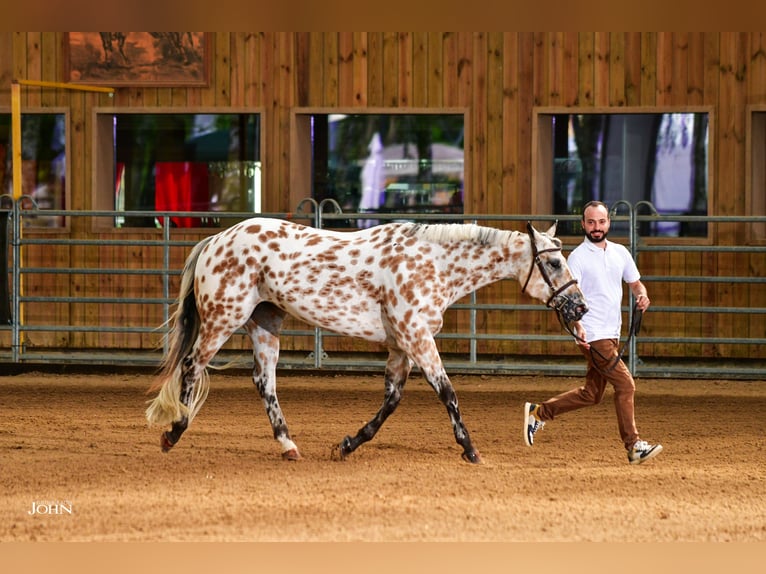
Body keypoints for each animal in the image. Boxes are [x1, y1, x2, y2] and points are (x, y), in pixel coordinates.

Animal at [146, 218, 588, 466]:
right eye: (553, 262)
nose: (580, 307)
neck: (433, 263)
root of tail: (217, 239)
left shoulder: (401, 345)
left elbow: (391, 400)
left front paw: (347, 446)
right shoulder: (416, 337)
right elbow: (447, 392)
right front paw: (471, 450)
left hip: (265, 322)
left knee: (264, 381)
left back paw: (289, 446)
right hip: (224, 318)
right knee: (192, 366)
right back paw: (173, 432)